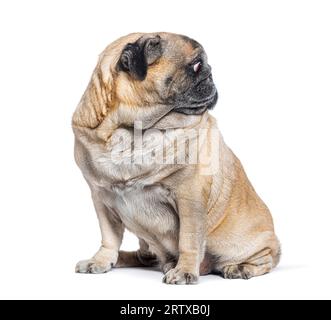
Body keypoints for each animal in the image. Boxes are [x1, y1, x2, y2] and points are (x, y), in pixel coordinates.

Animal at [72, 32, 280, 284]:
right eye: (197, 65)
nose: (211, 73)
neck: (134, 132)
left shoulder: (189, 196)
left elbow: (188, 239)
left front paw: (185, 271)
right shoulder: (101, 197)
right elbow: (109, 237)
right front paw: (102, 260)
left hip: (237, 243)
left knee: (264, 258)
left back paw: (239, 268)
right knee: (146, 256)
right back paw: (127, 258)